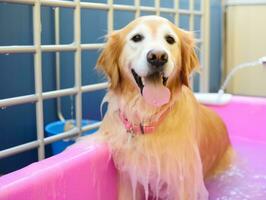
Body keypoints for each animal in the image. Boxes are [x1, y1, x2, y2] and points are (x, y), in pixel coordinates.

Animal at [84, 16, 232, 200]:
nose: (158, 57)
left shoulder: (182, 179)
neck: (147, 117)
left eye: (170, 39)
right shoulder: (129, 176)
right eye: (137, 38)